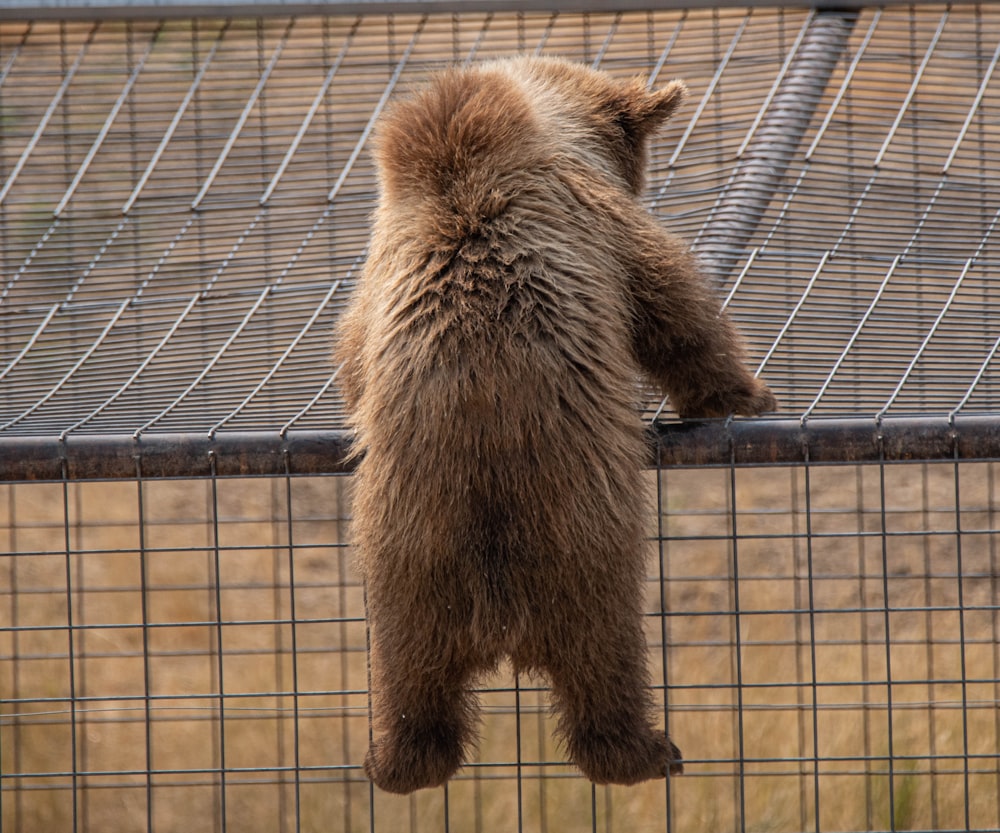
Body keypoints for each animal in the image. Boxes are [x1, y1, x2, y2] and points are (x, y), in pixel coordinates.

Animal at [332, 53, 776, 792]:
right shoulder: (595, 219)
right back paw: (646, 749)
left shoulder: (375, 274)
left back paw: (394, 760)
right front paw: (742, 393)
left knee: (408, 675)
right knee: (606, 654)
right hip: (579, 533)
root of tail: (496, 616)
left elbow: (351, 355)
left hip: (400, 556)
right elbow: (671, 302)